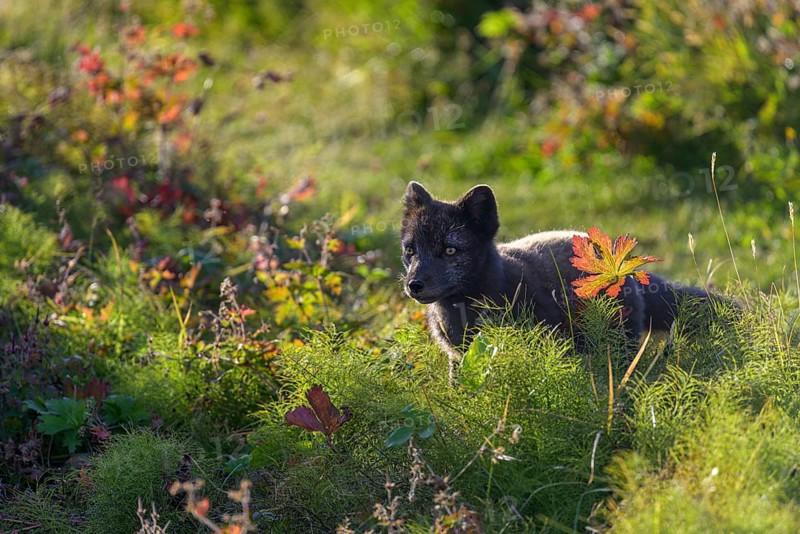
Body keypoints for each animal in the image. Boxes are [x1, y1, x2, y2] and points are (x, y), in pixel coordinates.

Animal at [400, 181, 710, 375]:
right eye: (410, 250)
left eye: (450, 250)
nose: (414, 285)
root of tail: (621, 265)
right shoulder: (459, 358)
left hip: (616, 342)